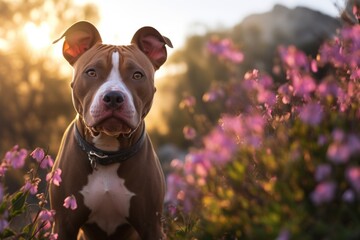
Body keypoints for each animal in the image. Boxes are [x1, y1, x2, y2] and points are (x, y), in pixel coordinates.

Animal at [50, 21, 173, 240]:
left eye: (137, 75)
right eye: (91, 72)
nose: (114, 97)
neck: (106, 152)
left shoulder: (151, 225)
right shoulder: (64, 223)